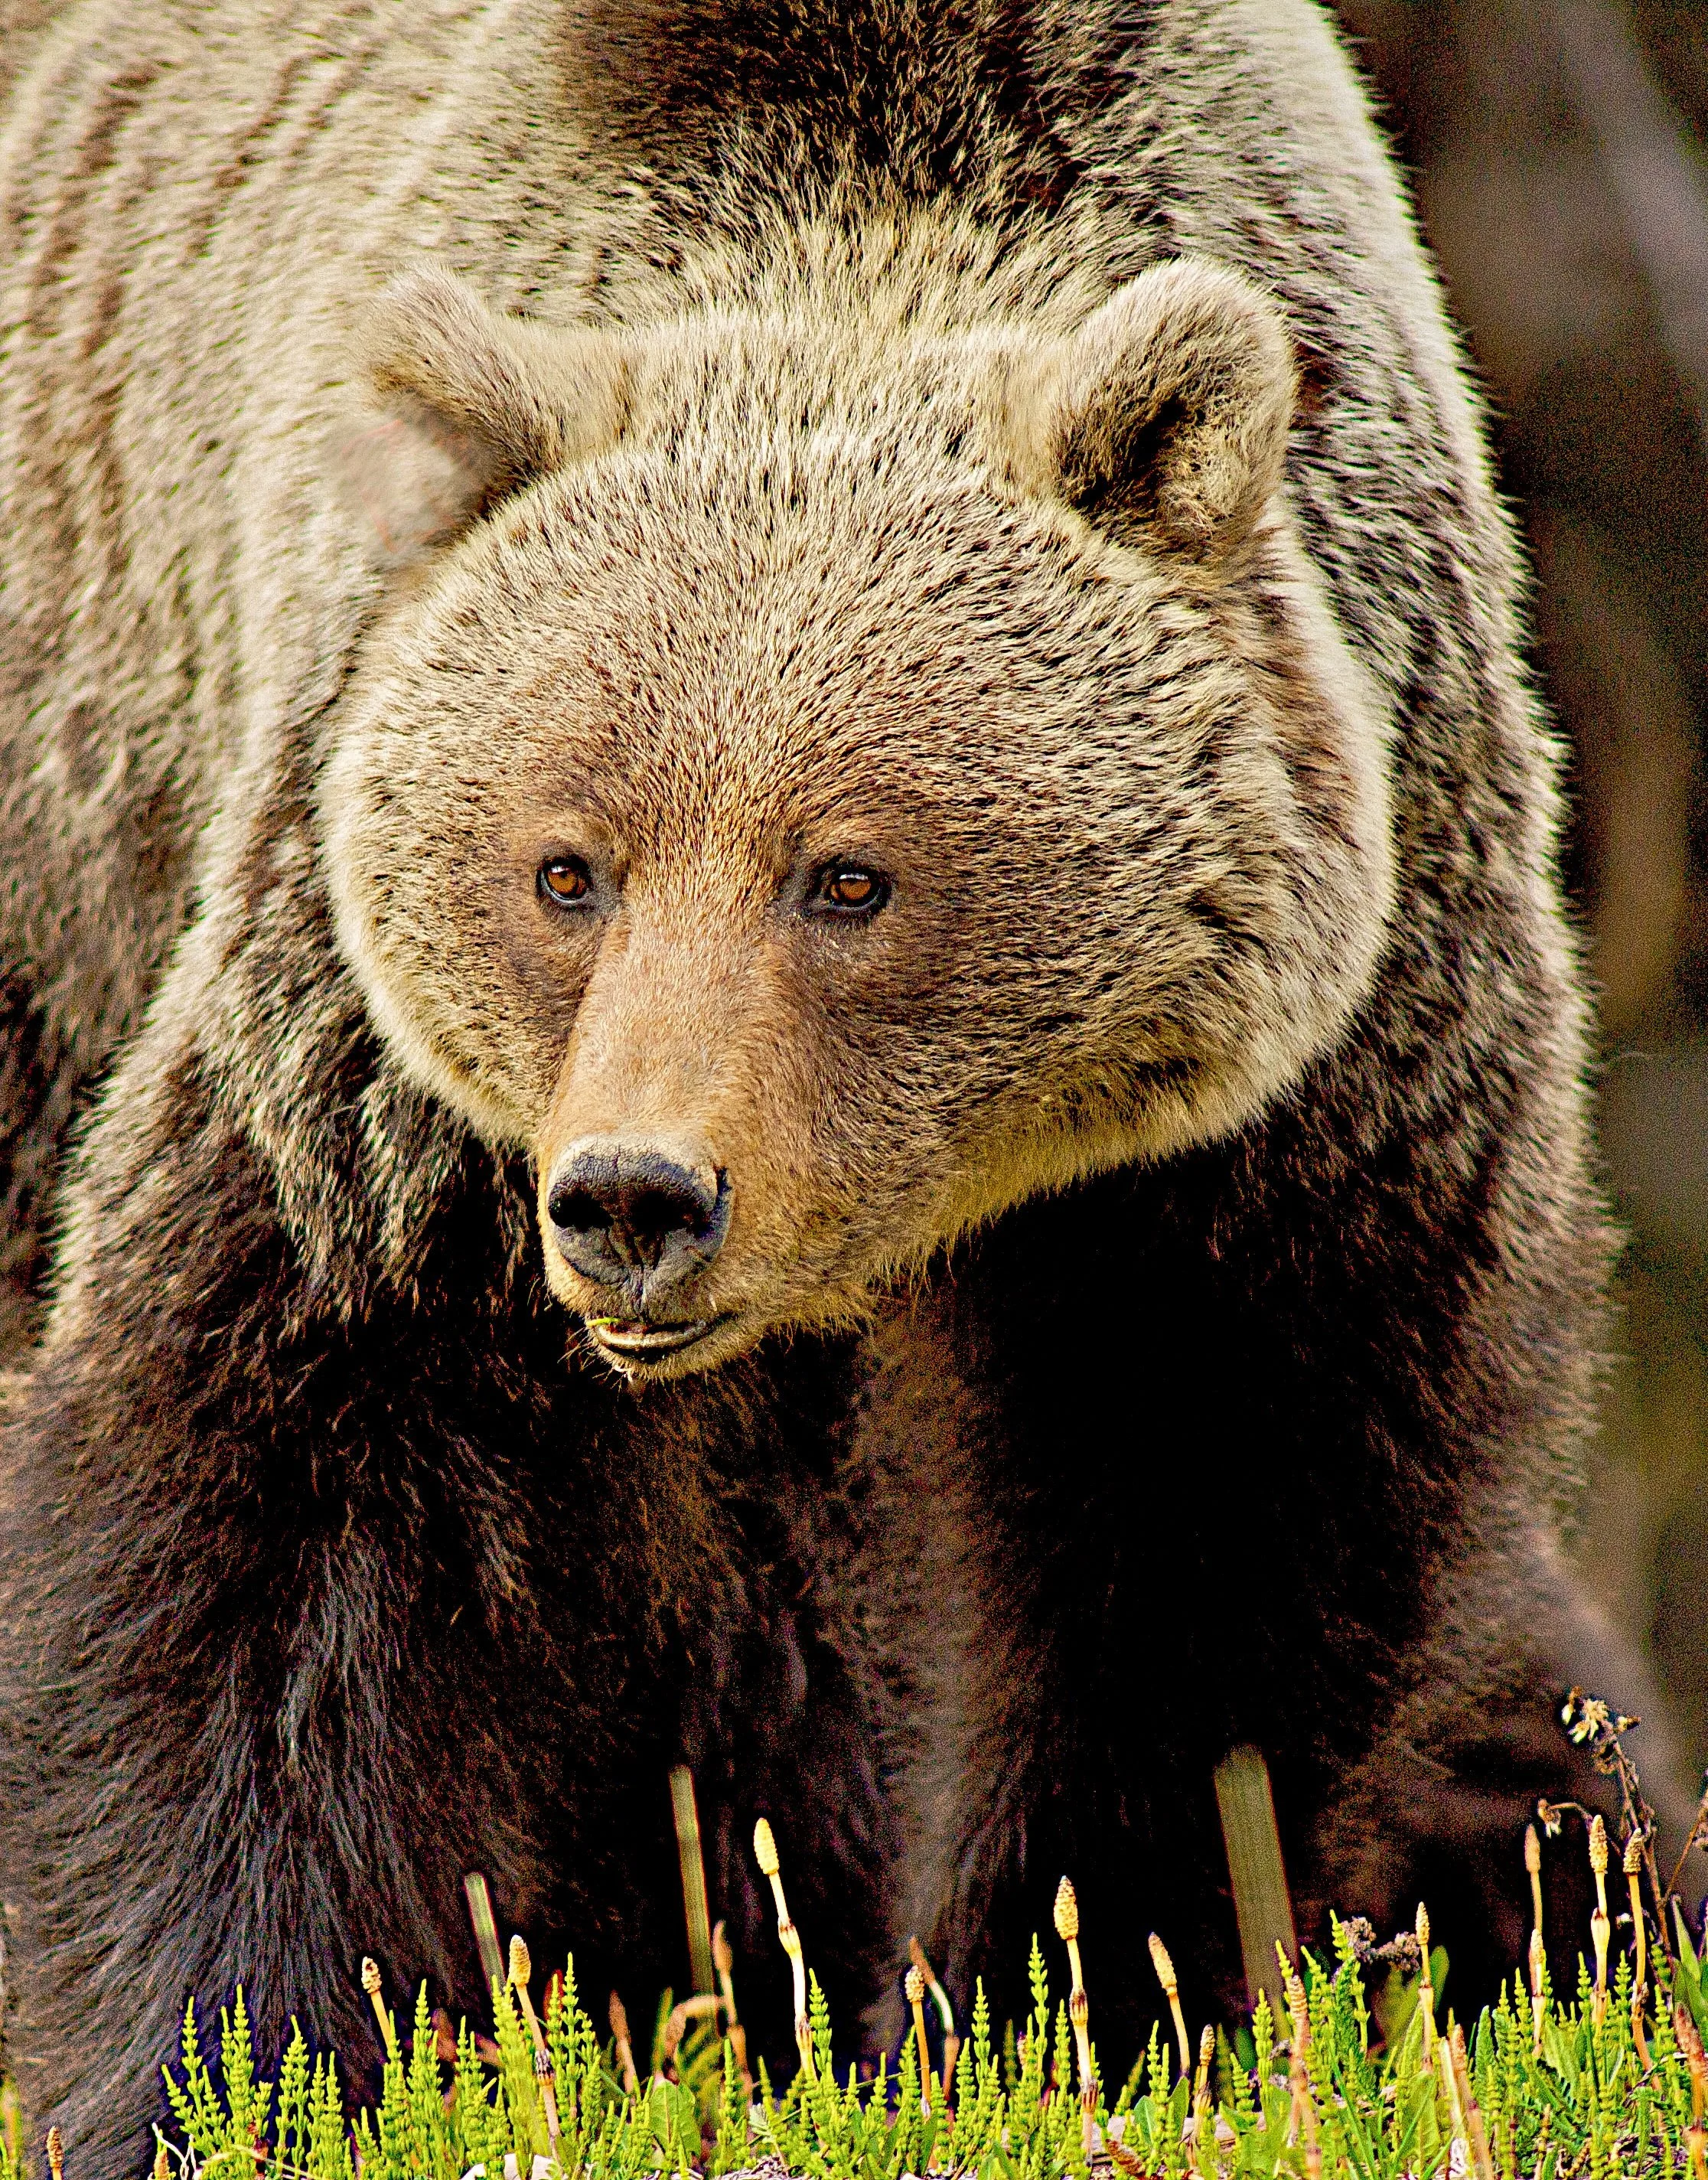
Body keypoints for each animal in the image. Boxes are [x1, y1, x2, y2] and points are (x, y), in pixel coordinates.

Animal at [0, 0, 1670, 2167]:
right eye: (565, 864)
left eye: (848, 873)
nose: (633, 1196)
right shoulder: (371, 1056)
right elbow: (268, 1510)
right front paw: (233, 2062)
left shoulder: (1287, 1105)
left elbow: (1201, 1553)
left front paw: (1058, 2009)